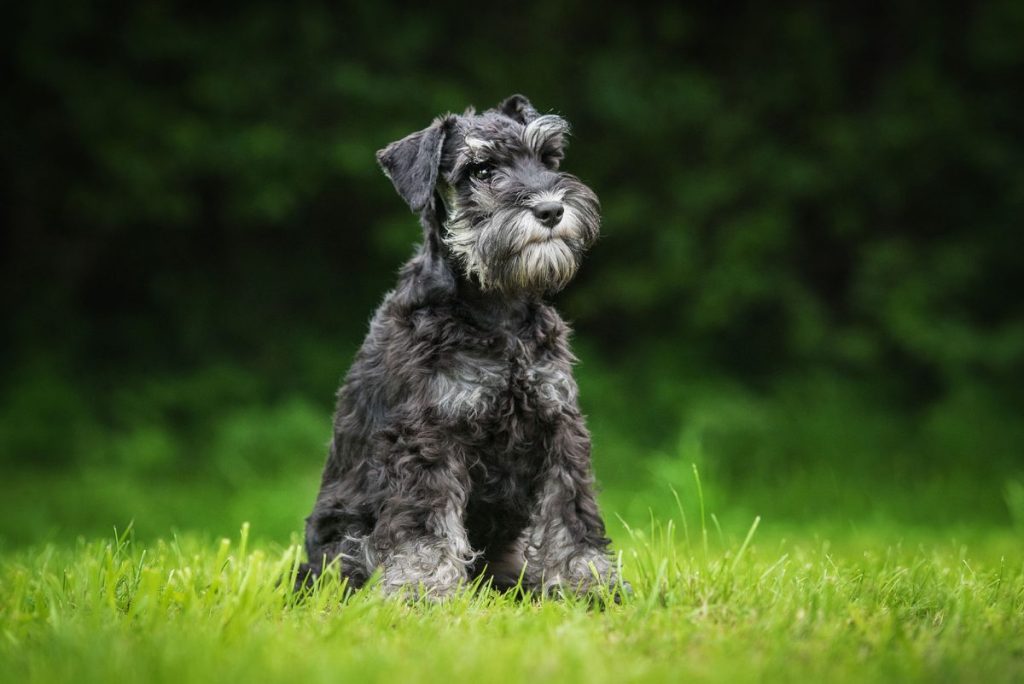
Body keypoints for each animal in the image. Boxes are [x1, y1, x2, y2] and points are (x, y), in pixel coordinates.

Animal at [292, 92, 618, 597]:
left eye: (548, 158)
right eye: (481, 170)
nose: (550, 210)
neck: (498, 310)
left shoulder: (558, 422)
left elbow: (571, 510)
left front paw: (587, 583)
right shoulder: (430, 433)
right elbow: (425, 524)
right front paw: (423, 588)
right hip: (341, 541)